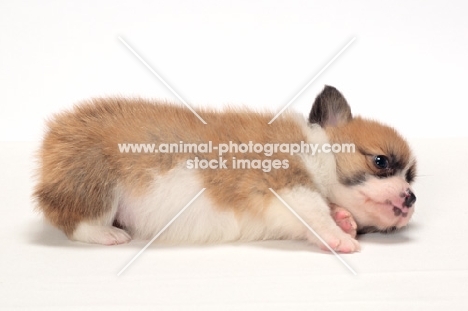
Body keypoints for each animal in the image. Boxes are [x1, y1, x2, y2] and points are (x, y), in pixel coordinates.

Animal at [34, 86, 418, 254]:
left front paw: (344, 219)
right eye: (381, 162)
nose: (411, 198)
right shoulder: (287, 185)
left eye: (411, 178)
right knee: (76, 222)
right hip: (97, 181)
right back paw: (107, 235)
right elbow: (314, 211)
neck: (315, 150)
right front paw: (338, 235)